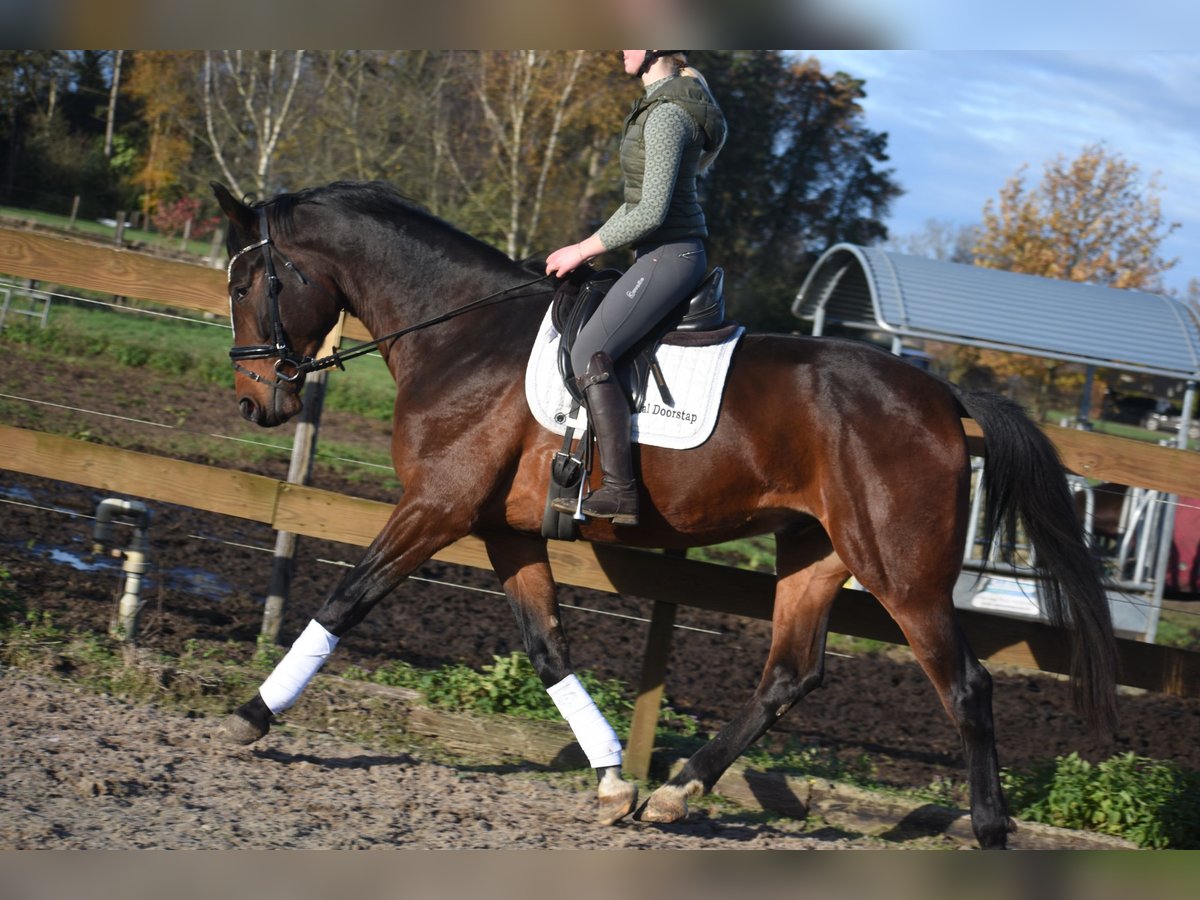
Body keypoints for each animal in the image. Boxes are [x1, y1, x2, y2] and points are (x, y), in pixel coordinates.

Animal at [210, 180, 1118, 849]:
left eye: (249, 283)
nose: (255, 403)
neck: (463, 336)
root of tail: (941, 396)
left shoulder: (435, 508)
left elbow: (346, 600)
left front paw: (252, 716)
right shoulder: (502, 530)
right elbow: (547, 647)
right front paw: (614, 779)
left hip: (902, 573)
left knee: (965, 686)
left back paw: (991, 832)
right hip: (815, 552)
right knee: (790, 674)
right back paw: (678, 794)